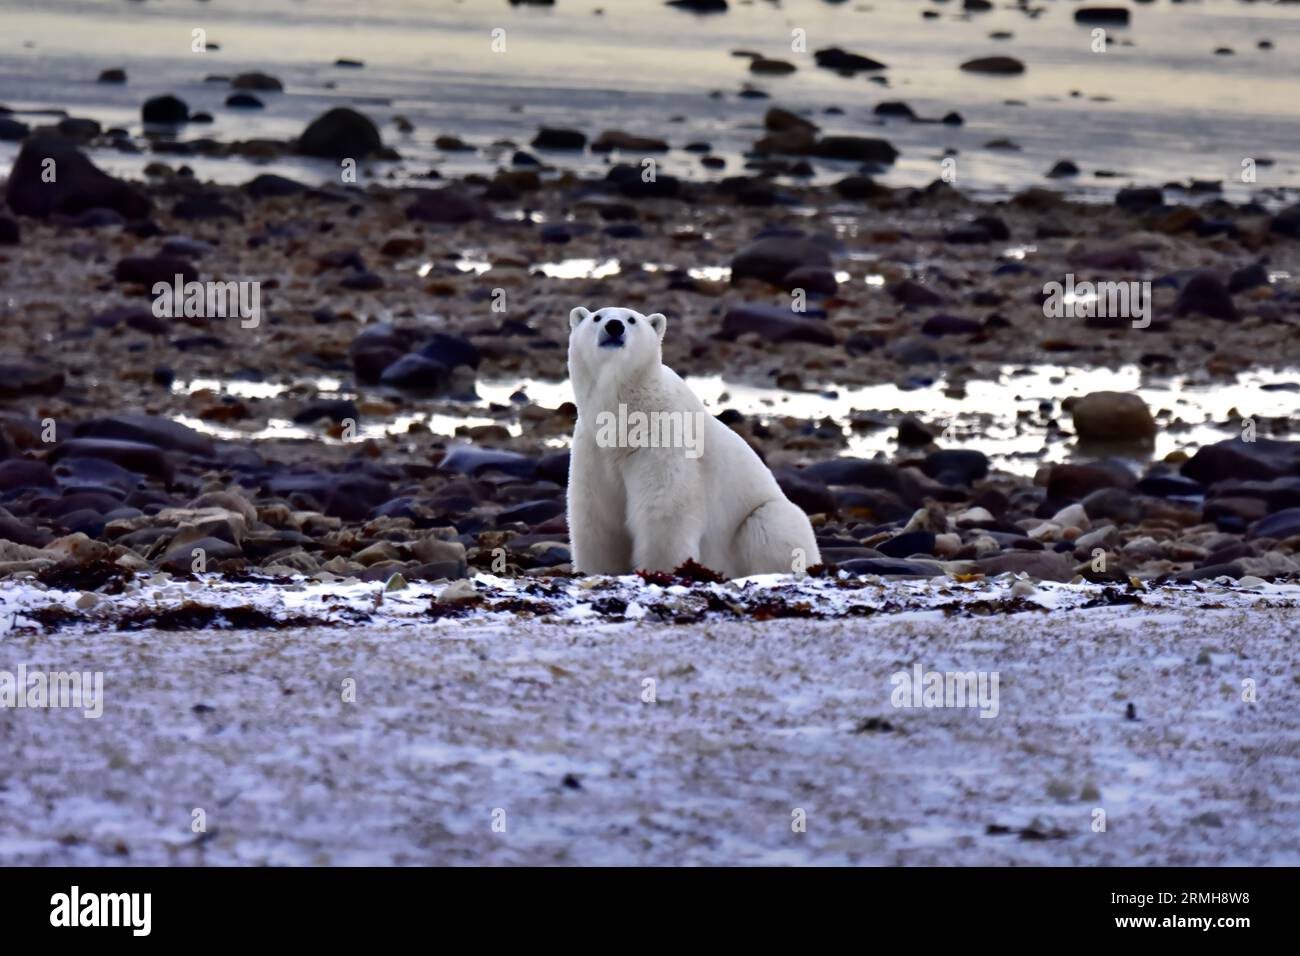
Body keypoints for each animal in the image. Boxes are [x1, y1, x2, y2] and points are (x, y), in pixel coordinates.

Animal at [561, 306, 816, 580]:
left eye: (631, 319)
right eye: (597, 317)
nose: (614, 326)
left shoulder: (662, 434)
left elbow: (665, 507)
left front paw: (662, 569)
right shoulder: (592, 447)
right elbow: (595, 513)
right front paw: (595, 571)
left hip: (757, 516)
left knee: (773, 524)